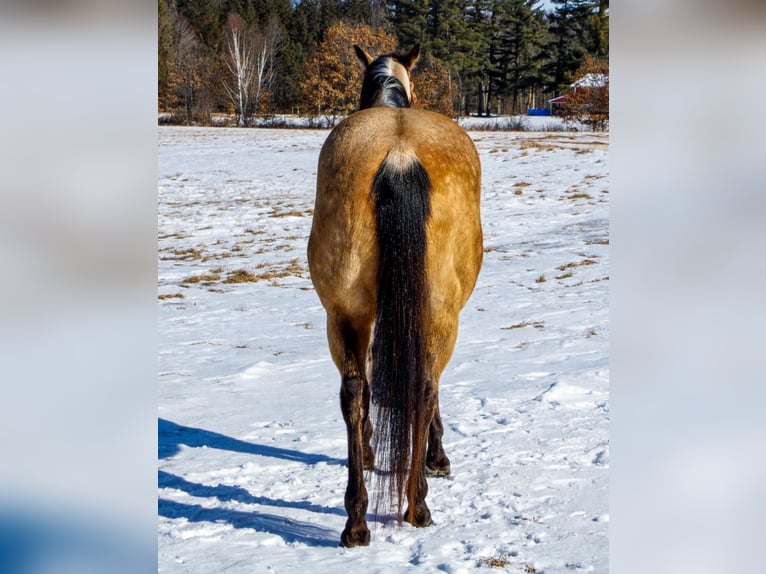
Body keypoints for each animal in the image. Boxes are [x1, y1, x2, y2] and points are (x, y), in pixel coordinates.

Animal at [308, 45, 484, 548]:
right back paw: (417, 503)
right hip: (440, 314)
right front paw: (437, 457)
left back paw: (356, 521)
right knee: (423, 385)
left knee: (354, 392)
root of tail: (400, 154)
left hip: (344, 313)